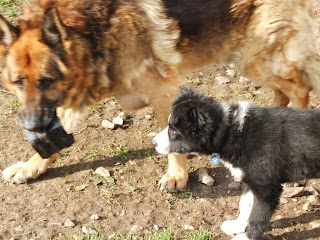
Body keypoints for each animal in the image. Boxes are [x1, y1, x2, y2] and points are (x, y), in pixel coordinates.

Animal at [0, 0, 320, 191]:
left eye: (46, 80)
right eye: (18, 82)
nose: (30, 126)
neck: (92, 32)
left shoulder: (163, 90)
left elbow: (174, 141)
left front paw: (177, 176)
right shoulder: (66, 100)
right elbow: (54, 141)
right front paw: (31, 167)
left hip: (252, 59)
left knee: (300, 87)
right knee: (283, 92)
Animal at [152, 89, 320, 240]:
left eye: (173, 131)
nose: (153, 143)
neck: (230, 130)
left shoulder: (266, 187)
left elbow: (258, 216)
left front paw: (246, 237)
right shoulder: (249, 179)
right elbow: (245, 204)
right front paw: (237, 226)